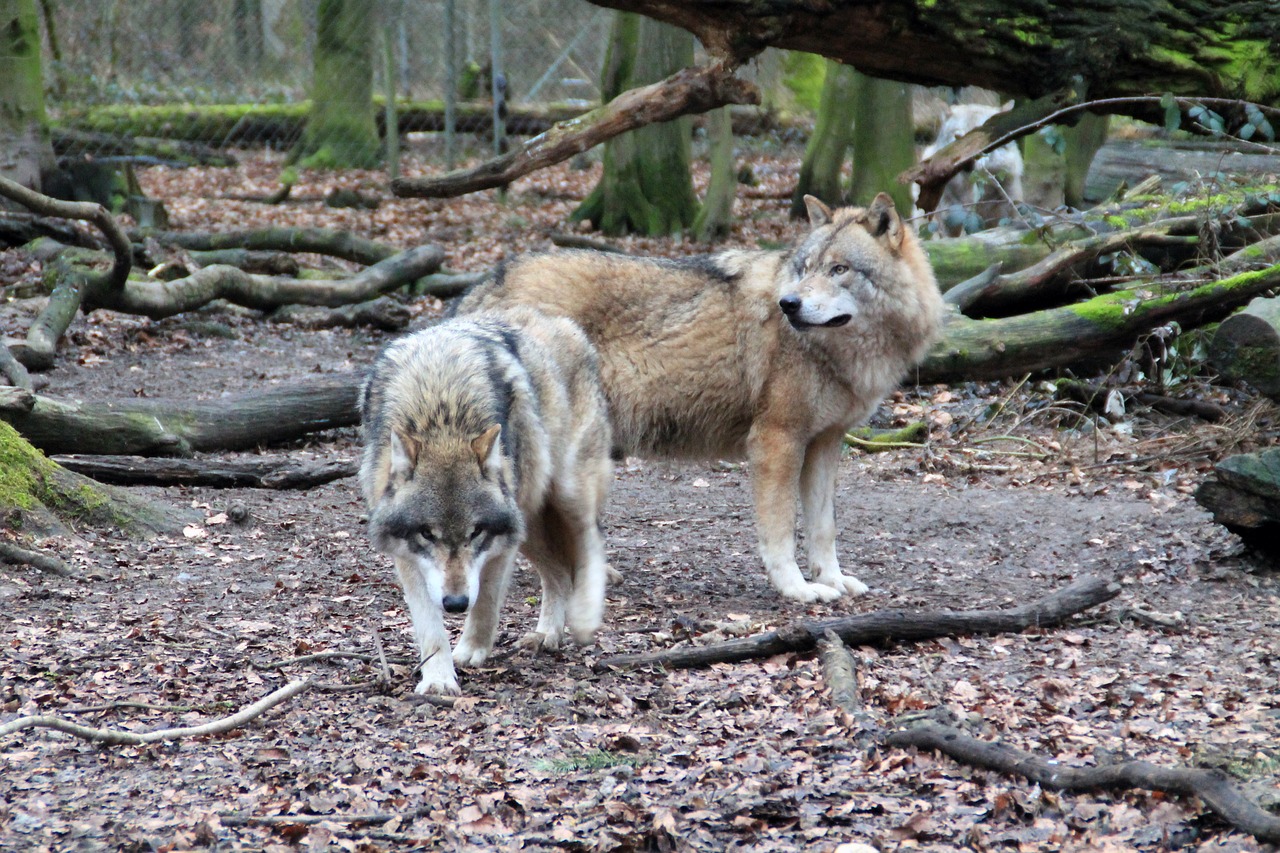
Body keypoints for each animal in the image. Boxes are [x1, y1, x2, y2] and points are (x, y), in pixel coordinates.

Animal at [360, 306, 614, 691]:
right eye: (427, 534)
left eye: (475, 532)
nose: (455, 603)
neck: (442, 410)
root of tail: (563, 323)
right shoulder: (407, 556)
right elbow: (428, 624)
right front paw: (438, 678)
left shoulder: (499, 546)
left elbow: (488, 601)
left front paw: (471, 649)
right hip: (527, 525)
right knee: (558, 571)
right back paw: (547, 633)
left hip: (563, 497)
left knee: (589, 547)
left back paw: (583, 618)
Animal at [458, 194, 942, 601]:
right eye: (805, 268)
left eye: (839, 269)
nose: (788, 303)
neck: (836, 354)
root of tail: (486, 283)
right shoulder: (776, 441)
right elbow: (780, 531)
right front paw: (798, 589)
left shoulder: (825, 442)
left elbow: (824, 529)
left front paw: (834, 580)